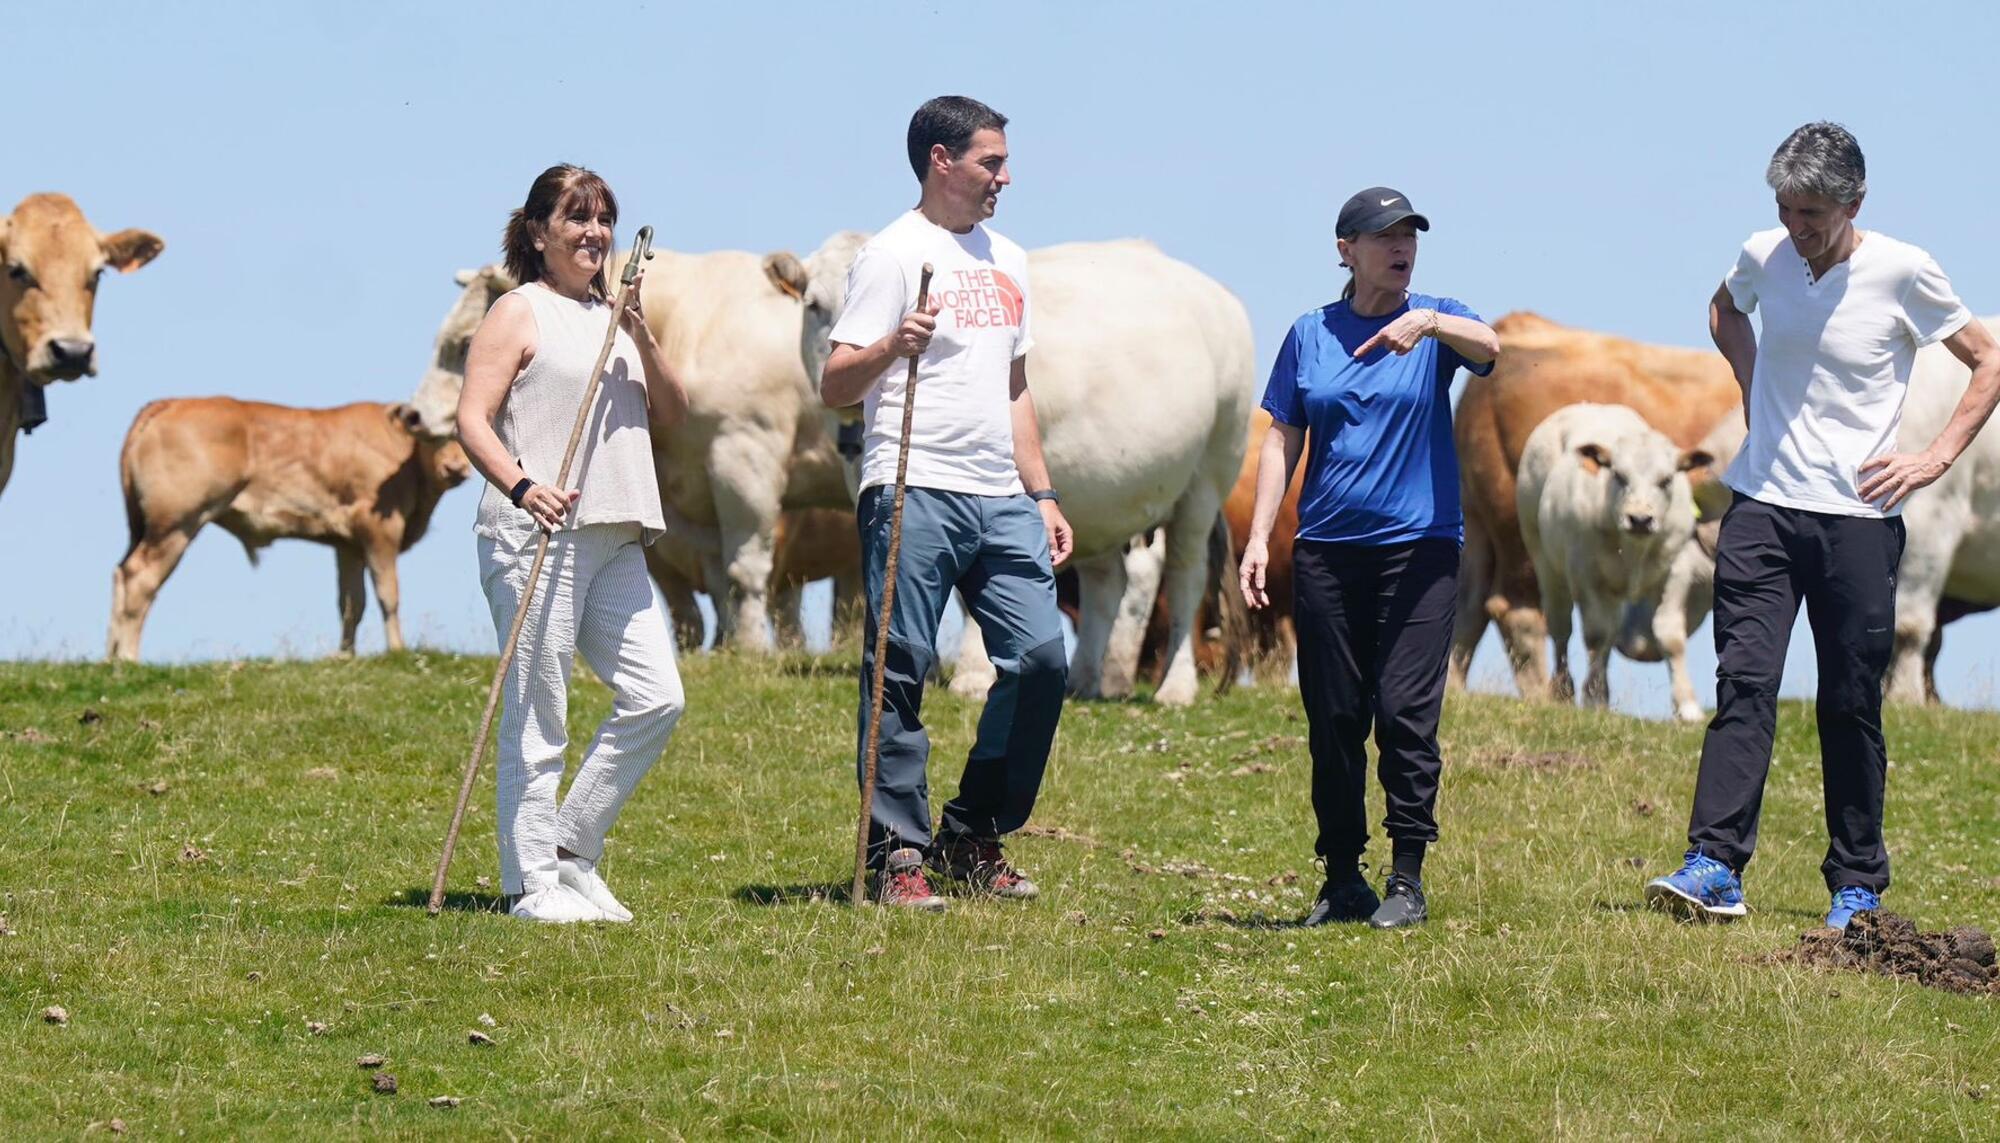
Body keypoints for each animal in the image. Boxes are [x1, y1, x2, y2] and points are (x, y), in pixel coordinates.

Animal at [106, 399, 472, 659]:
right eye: (429, 437)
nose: (455, 467)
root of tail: (169, 402)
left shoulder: (347, 544)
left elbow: (351, 603)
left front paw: (346, 655)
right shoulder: (379, 530)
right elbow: (388, 594)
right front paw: (397, 650)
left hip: (145, 528)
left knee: (120, 572)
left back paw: (111, 657)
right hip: (176, 523)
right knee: (140, 578)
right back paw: (128, 658)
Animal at [764, 231, 1248, 707]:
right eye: (814, 304)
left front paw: (973, 676)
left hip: (1208, 474)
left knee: (1186, 576)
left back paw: (1175, 687)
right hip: (1102, 495)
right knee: (1107, 581)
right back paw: (1084, 680)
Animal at [1520, 405, 1712, 715]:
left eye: (1666, 480)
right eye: (1620, 476)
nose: (1640, 519)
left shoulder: (1675, 572)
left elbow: (1670, 637)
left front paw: (1687, 706)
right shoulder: (1587, 576)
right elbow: (1596, 635)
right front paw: (1593, 698)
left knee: (1610, 631)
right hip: (1545, 563)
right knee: (1562, 627)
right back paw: (1564, 689)